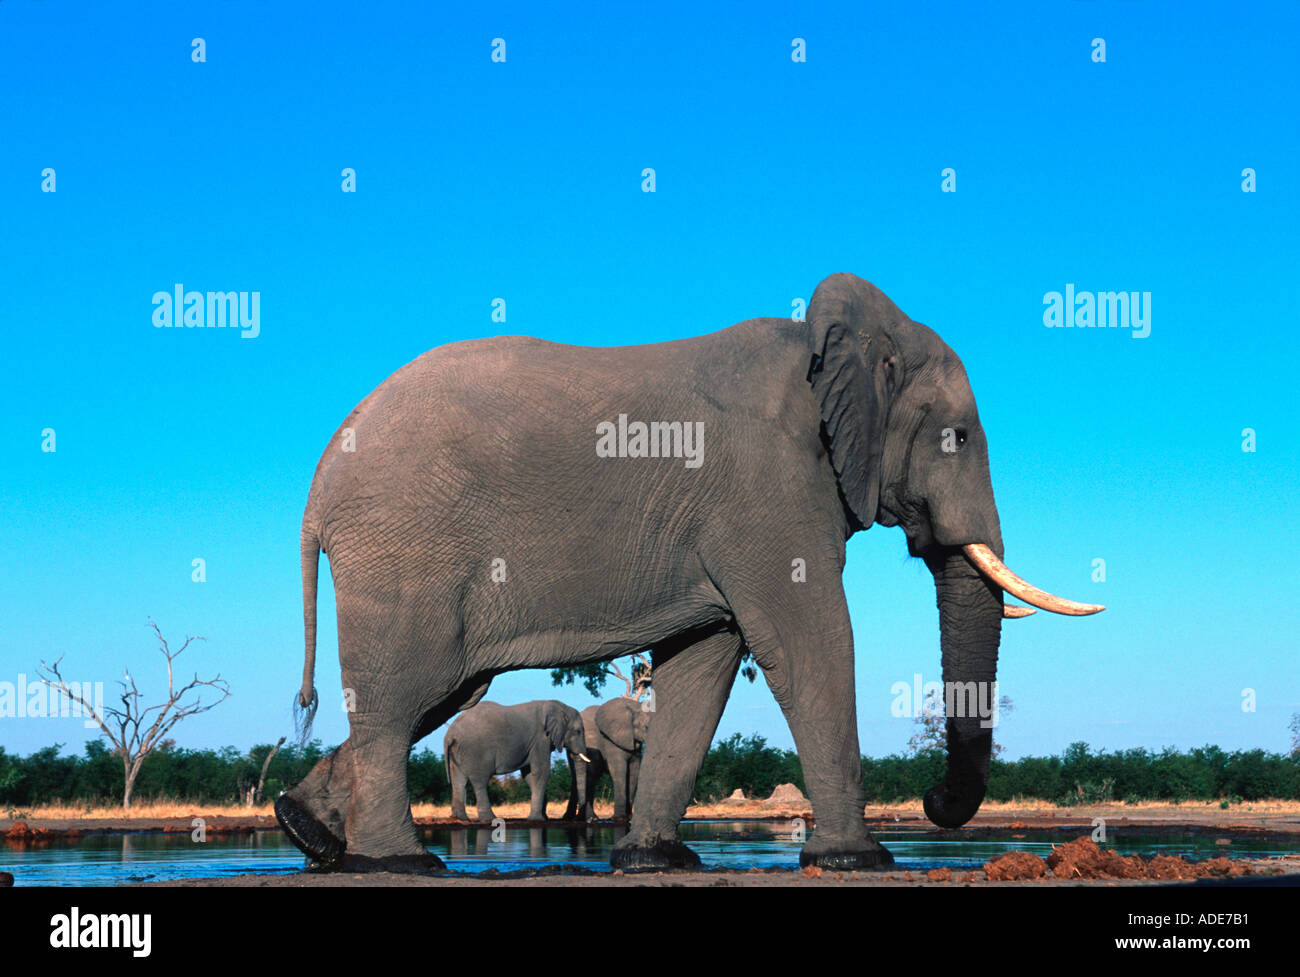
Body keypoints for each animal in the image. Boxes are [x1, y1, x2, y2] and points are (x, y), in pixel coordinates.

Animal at [444, 696, 592, 821]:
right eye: (578, 731)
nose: (584, 819)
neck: (557, 706)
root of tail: (450, 734)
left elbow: (529, 774)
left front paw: (542, 816)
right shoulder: (541, 739)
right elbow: (541, 772)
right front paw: (537, 819)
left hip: (458, 752)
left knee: (459, 780)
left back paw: (461, 818)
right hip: (476, 750)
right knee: (480, 781)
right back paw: (490, 819)